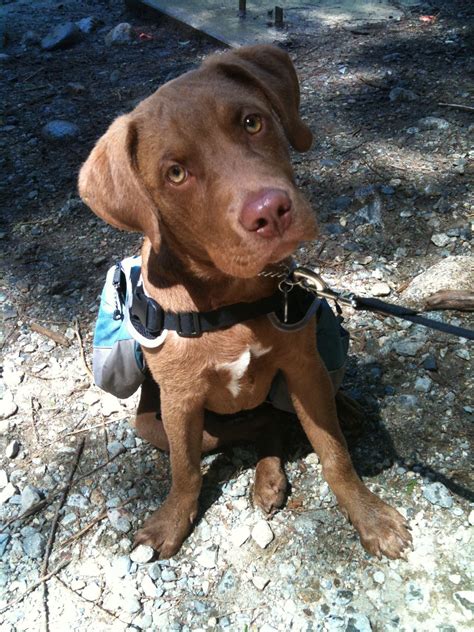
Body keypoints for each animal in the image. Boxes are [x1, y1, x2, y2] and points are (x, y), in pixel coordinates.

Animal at [78, 43, 412, 556]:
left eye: (252, 122)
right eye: (176, 173)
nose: (270, 212)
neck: (230, 300)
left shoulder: (303, 371)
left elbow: (334, 453)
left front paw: (369, 515)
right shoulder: (180, 400)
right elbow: (185, 472)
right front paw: (170, 522)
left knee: (287, 413)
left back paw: (342, 414)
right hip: (154, 423)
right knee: (259, 426)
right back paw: (269, 477)